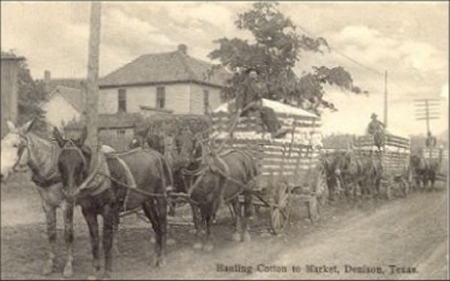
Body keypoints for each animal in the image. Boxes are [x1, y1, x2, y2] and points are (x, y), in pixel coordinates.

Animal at [53, 127, 172, 278]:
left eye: (80, 163)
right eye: (60, 163)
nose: (69, 194)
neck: (96, 178)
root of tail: (157, 155)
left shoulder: (108, 211)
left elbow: (107, 240)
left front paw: (107, 271)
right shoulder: (88, 212)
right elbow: (94, 239)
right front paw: (95, 269)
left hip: (160, 197)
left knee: (162, 225)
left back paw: (162, 258)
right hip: (147, 201)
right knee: (156, 225)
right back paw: (155, 257)